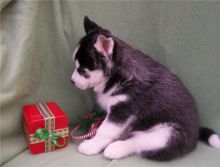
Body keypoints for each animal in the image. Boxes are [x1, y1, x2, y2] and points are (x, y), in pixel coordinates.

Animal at [71, 16, 220, 160]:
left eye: (82, 70)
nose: (71, 81)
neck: (118, 76)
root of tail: (196, 132)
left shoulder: (122, 109)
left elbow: (104, 130)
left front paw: (92, 145)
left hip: (168, 134)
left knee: (138, 143)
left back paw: (115, 149)